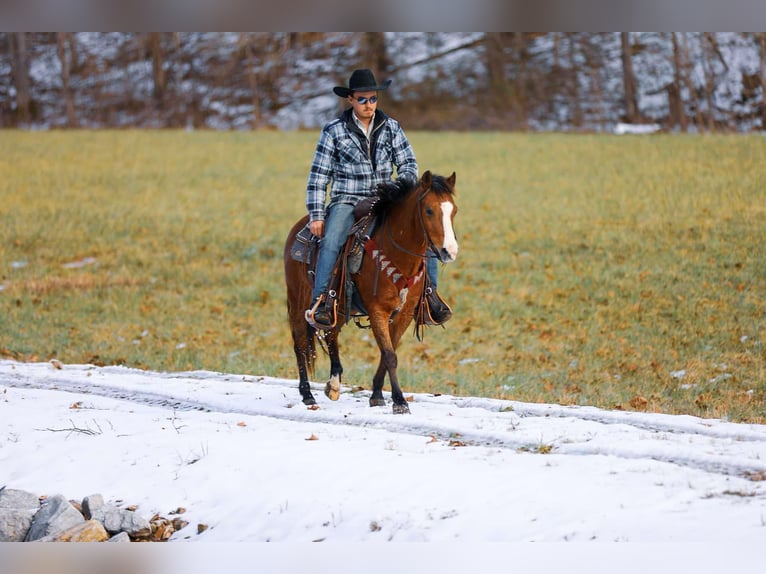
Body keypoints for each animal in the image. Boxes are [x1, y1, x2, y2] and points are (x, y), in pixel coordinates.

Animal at [284, 171, 460, 414]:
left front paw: (377, 394)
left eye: (454, 210)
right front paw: (400, 402)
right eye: (429, 210)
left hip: (338, 306)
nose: (449, 251)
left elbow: (388, 351)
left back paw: (334, 384)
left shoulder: (404, 313)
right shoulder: (378, 310)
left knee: (331, 333)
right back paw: (308, 395)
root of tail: (299, 227)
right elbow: (390, 355)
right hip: (298, 301)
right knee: (301, 343)